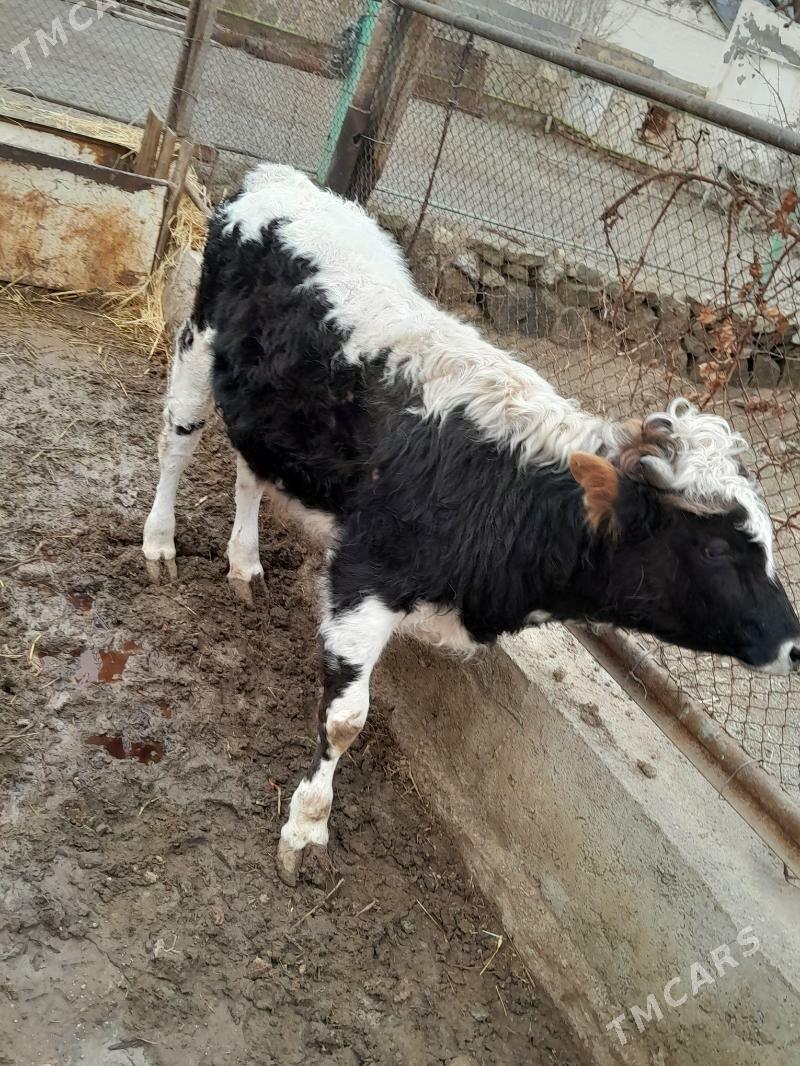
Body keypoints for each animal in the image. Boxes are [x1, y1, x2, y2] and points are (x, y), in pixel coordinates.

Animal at [143, 164, 800, 885]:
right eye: (715, 549)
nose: (795, 644)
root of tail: (280, 181)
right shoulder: (363, 575)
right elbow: (346, 719)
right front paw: (306, 829)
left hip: (269, 409)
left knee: (249, 471)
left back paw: (244, 562)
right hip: (198, 340)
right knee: (177, 439)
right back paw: (159, 543)